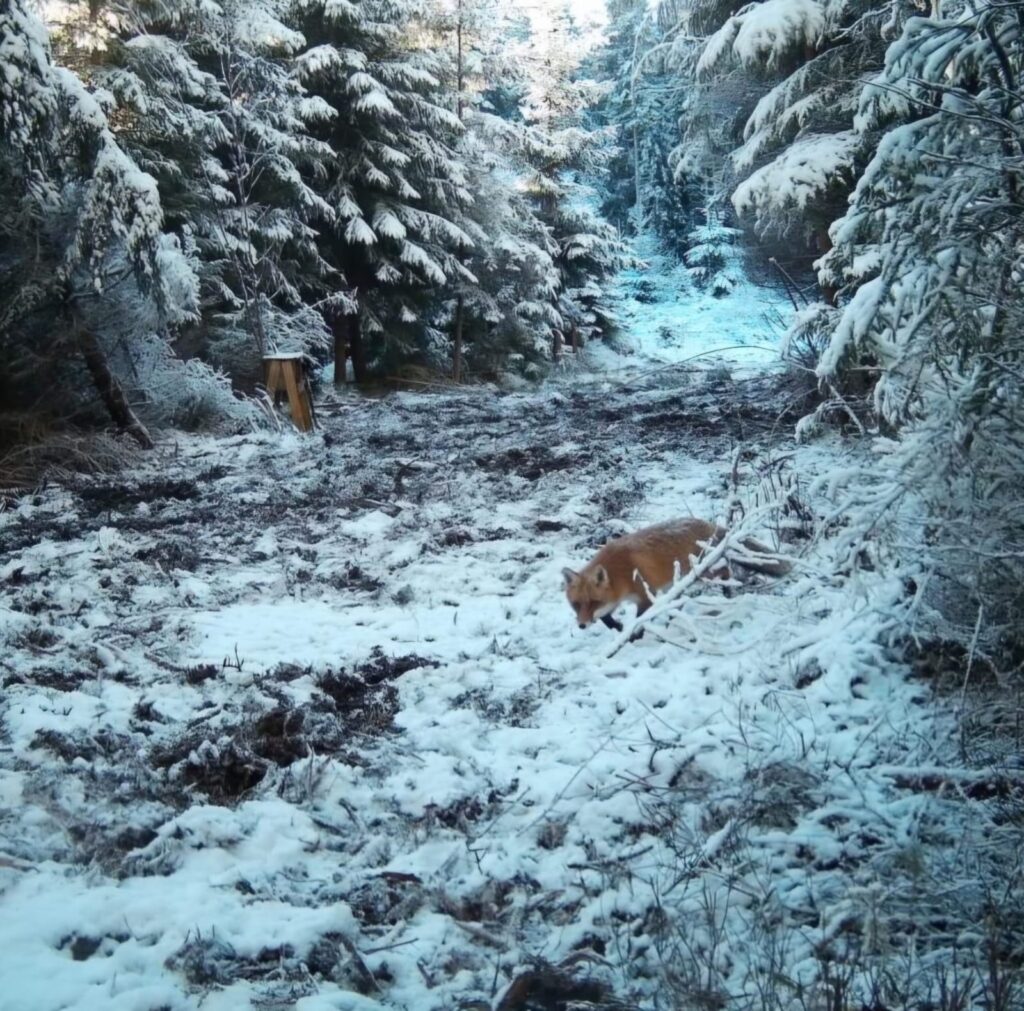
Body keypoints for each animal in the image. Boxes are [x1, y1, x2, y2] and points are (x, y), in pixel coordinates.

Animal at [562, 517, 790, 634]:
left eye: (593, 602)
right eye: (576, 604)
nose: (581, 626)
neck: (622, 573)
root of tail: (708, 523)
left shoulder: (646, 596)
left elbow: (640, 622)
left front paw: (633, 637)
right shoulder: (616, 599)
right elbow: (605, 618)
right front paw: (618, 628)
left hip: (707, 571)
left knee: (727, 570)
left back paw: (728, 592)